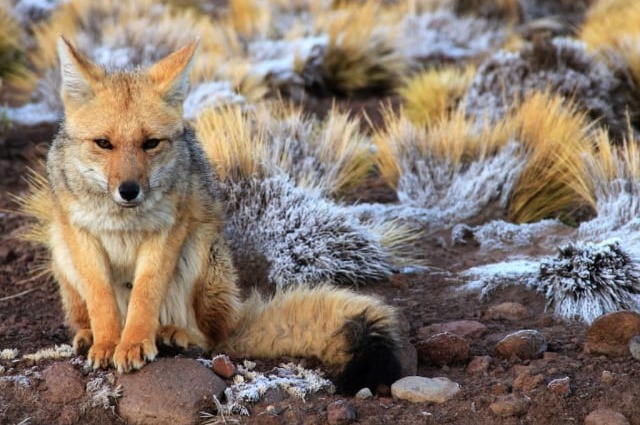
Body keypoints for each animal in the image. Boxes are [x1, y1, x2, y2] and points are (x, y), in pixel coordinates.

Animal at [40, 37, 402, 394]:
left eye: (151, 143)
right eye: (103, 143)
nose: (129, 190)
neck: (123, 220)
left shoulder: (167, 233)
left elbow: (145, 295)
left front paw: (133, 343)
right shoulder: (81, 235)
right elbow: (101, 298)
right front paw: (107, 343)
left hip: (199, 251)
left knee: (211, 338)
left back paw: (173, 335)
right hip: (62, 252)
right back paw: (89, 335)